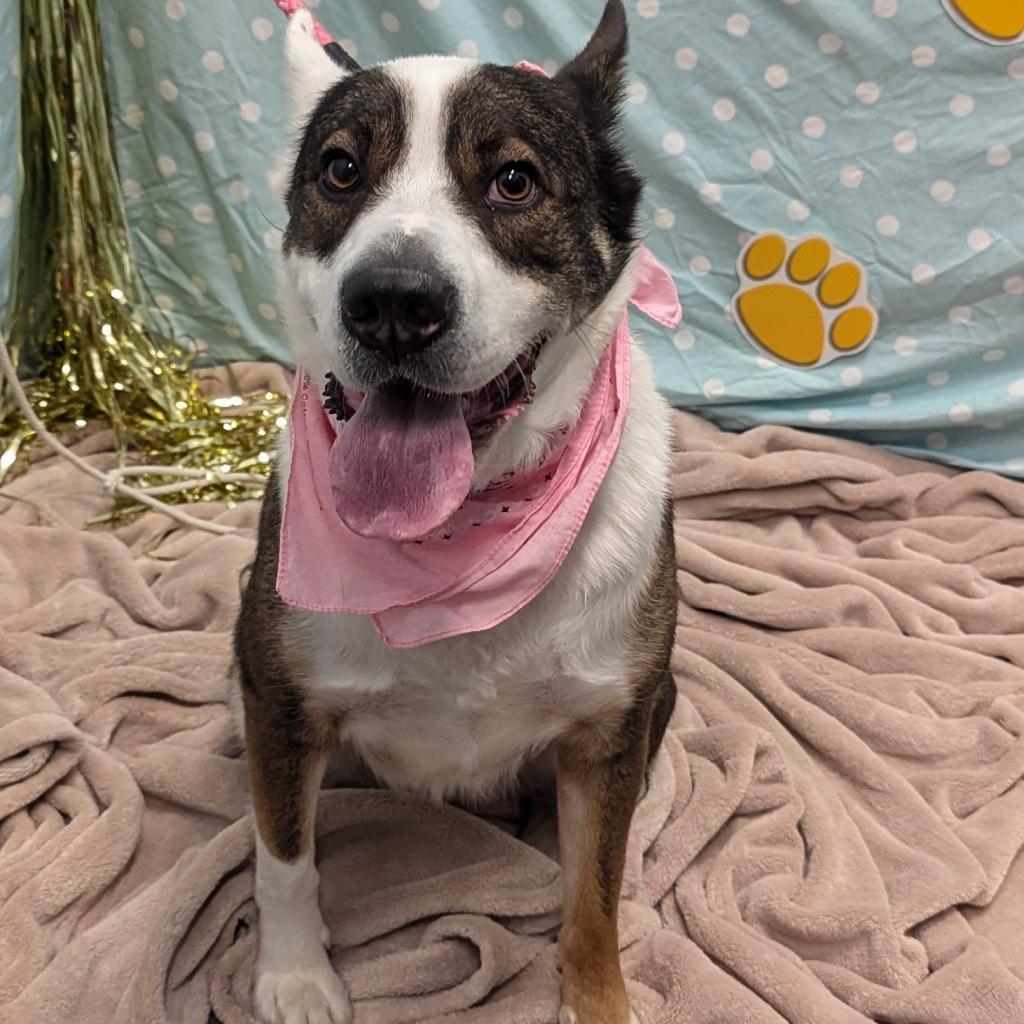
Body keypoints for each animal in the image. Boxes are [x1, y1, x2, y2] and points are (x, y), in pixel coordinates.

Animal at [234, 4, 675, 1019]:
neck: (456, 531)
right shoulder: (275, 694)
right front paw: (294, 973)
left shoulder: (611, 728)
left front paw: (597, 995)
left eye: (514, 180)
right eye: (340, 170)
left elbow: (595, 893)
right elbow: (284, 858)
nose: (393, 302)